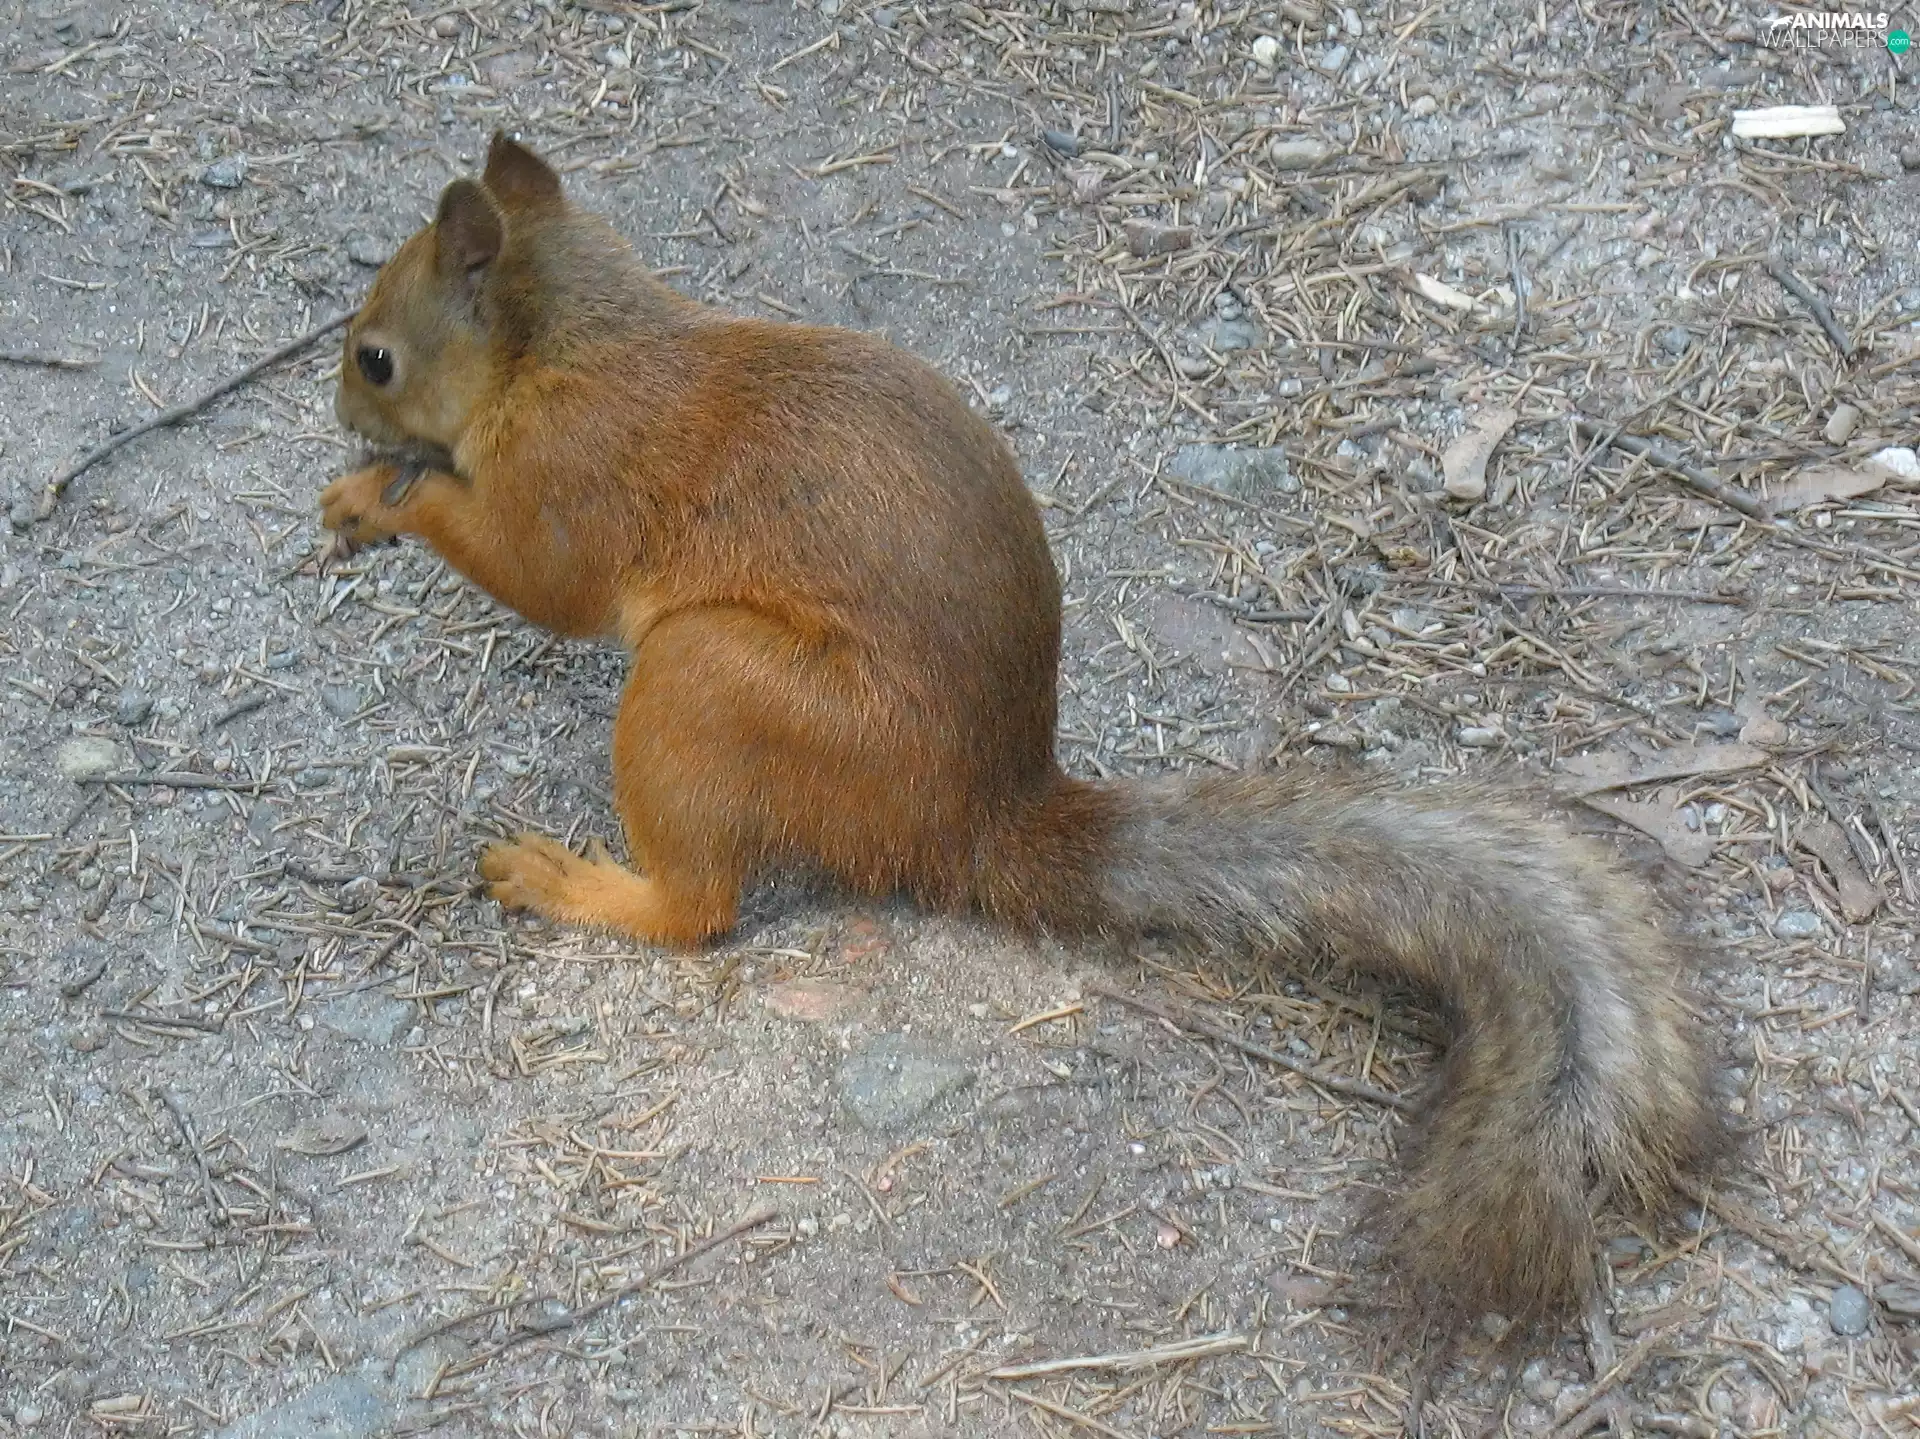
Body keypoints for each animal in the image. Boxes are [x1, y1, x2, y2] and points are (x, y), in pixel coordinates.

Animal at [321, 133, 1724, 1329]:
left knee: (699, 909)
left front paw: (379, 501)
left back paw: (572, 881)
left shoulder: (576, 474)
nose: (345, 419)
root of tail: (976, 817)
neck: (576, 340)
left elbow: (535, 574)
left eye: (376, 357)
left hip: (706, 680)